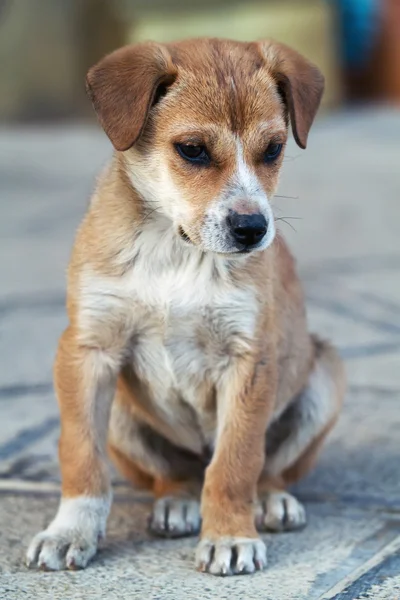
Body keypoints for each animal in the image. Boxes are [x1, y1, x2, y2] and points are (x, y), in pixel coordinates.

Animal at [26, 37, 346, 576]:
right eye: (192, 150)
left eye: (273, 149)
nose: (252, 230)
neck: (174, 251)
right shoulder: (87, 349)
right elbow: (81, 453)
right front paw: (69, 531)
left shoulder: (249, 360)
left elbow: (237, 460)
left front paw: (230, 536)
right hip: (124, 413)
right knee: (175, 473)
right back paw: (176, 502)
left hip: (325, 373)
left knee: (261, 468)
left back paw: (270, 501)